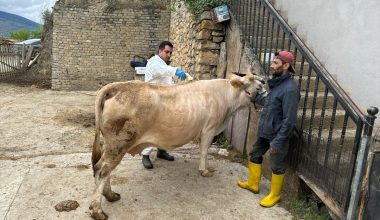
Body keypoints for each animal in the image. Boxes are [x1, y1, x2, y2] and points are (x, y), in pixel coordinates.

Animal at [88, 72, 262, 218]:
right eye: (257, 85)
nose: (265, 87)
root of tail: (115, 86)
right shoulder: (209, 129)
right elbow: (204, 152)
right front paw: (204, 170)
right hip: (118, 144)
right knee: (102, 170)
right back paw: (98, 210)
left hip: (111, 145)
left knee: (103, 168)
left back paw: (110, 195)